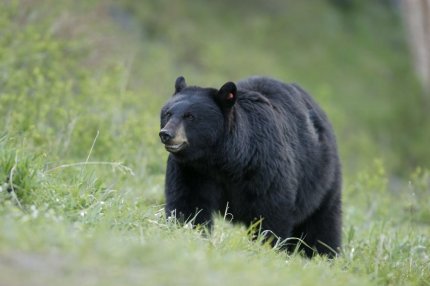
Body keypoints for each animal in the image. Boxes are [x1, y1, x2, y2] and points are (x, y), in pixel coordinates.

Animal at [160, 75, 340, 256]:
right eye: (168, 113)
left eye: (190, 116)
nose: (166, 134)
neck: (222, 160)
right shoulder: (191, 169)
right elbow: (189, 203)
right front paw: (187, 232)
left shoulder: (265, 166)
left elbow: (271, 210)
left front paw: (265, 246)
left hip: (322, 178)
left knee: (322, 223)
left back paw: (324, 253)